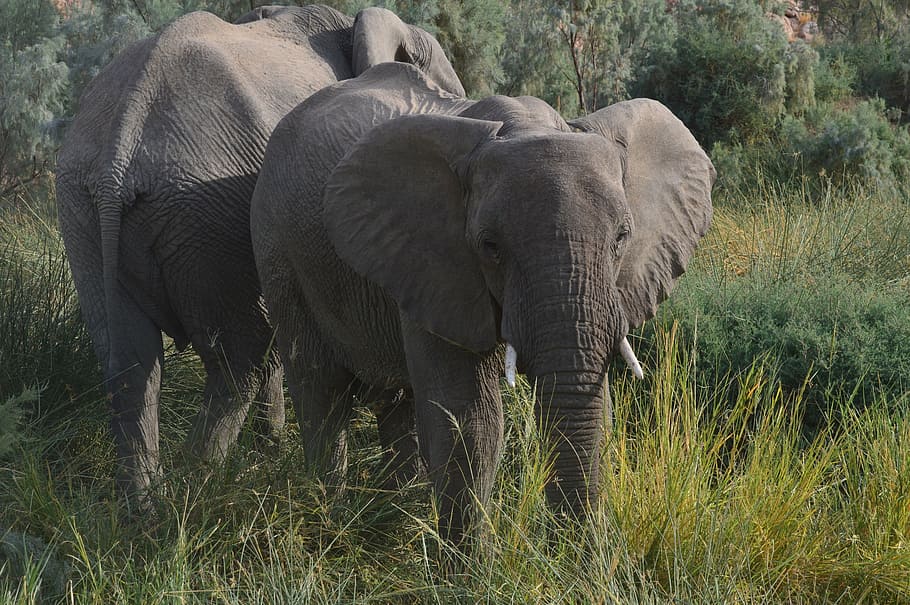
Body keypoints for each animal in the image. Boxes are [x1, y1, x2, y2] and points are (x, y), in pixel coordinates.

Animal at [55, 4, 465, 513]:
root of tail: (119, 155)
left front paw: (271, 450)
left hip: (85, 211)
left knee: (130, 360)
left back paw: (146, 511)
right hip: (204, 213)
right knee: (242, 360)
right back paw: (200, 487)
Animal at [250, 63, 715, 542]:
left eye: (622, 237)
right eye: (490, 246)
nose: (570, 550)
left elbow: (594, 406)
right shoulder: (433, 259)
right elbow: (470, 422)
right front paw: (465, 564)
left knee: (397, 401)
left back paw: (397, 511)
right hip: (279, 252)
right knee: (321, 390)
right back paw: (332, 517)